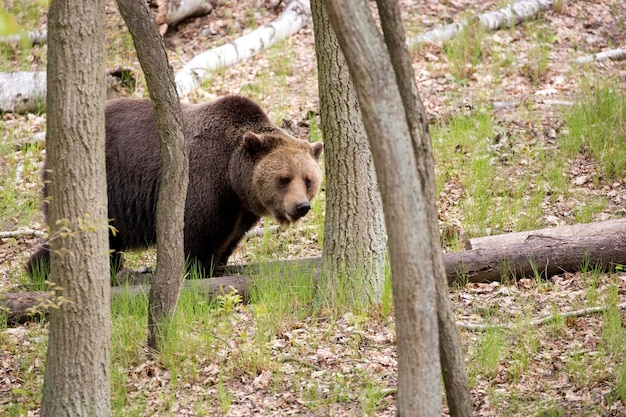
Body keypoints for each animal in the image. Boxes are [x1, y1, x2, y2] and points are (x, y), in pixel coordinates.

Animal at [26, 94, 322, 276]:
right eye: (284, 178)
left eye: (308, 180)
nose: (301, 206)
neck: (232, 177)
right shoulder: (203, 184)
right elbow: (195, 234)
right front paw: (198, 270)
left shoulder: (240, 209)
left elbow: (229, 239)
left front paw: (219, 264)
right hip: (107, 185)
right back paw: (40, 269)